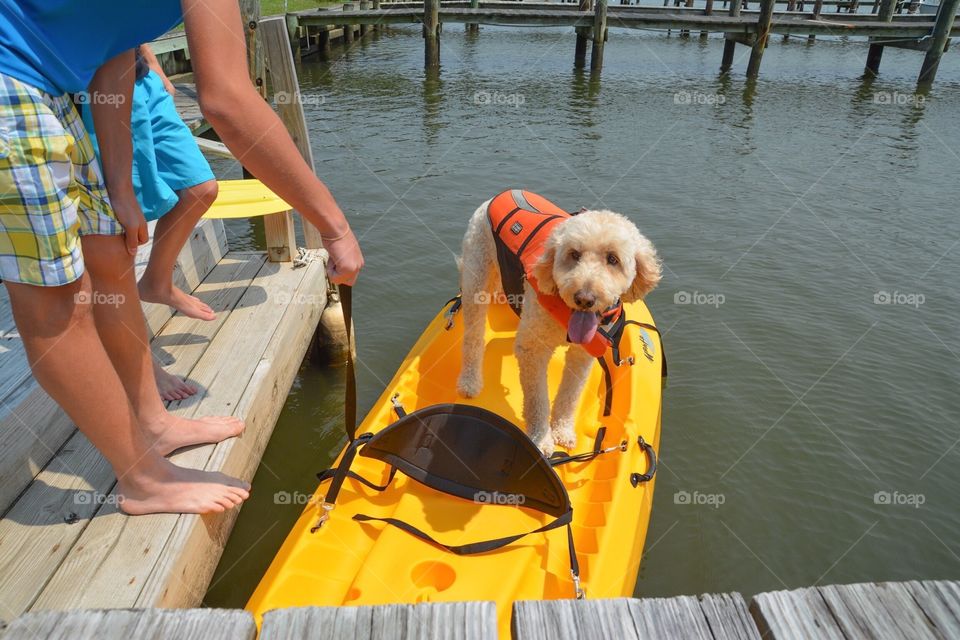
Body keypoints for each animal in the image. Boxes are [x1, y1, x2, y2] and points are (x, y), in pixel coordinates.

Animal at [458, 192, 660, 458]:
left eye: (613, 259)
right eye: (574, 254)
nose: (584, 298)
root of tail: (501, 193)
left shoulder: (583, 354)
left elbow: (569, 395)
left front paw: (562, 431)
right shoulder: (533, 350)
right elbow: (538, 399)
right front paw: (542, 439)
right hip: (476, 276)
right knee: (472, 336)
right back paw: (469, 381)